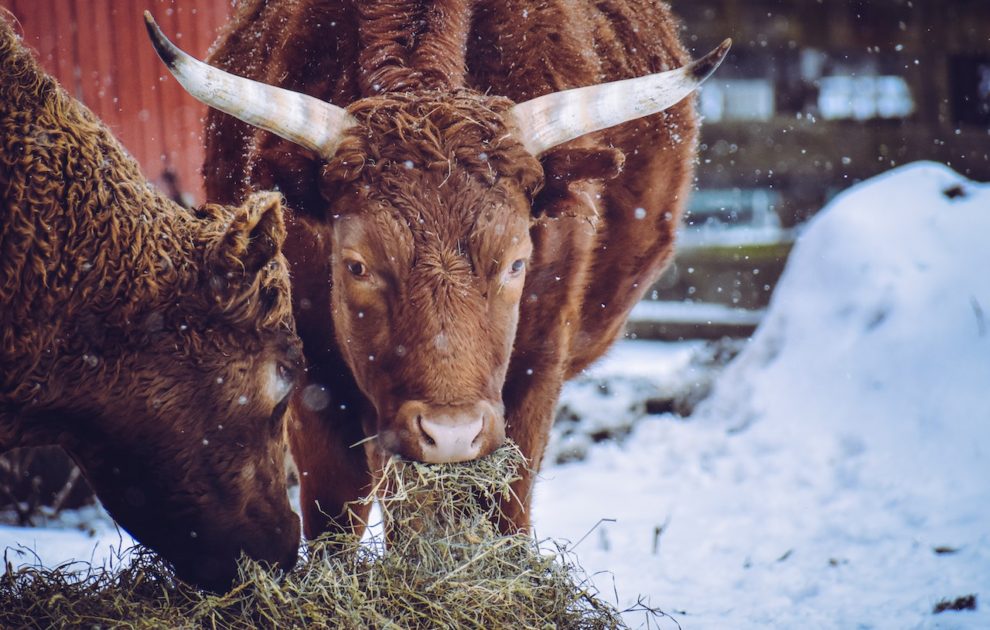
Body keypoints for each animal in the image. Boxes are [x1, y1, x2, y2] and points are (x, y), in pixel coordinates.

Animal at [145, 2, 728, 540]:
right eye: (357, 264)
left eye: (517, 262)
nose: (451, 433)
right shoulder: (315, 380)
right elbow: (339, 518)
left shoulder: (538, 369)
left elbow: (508, 514)